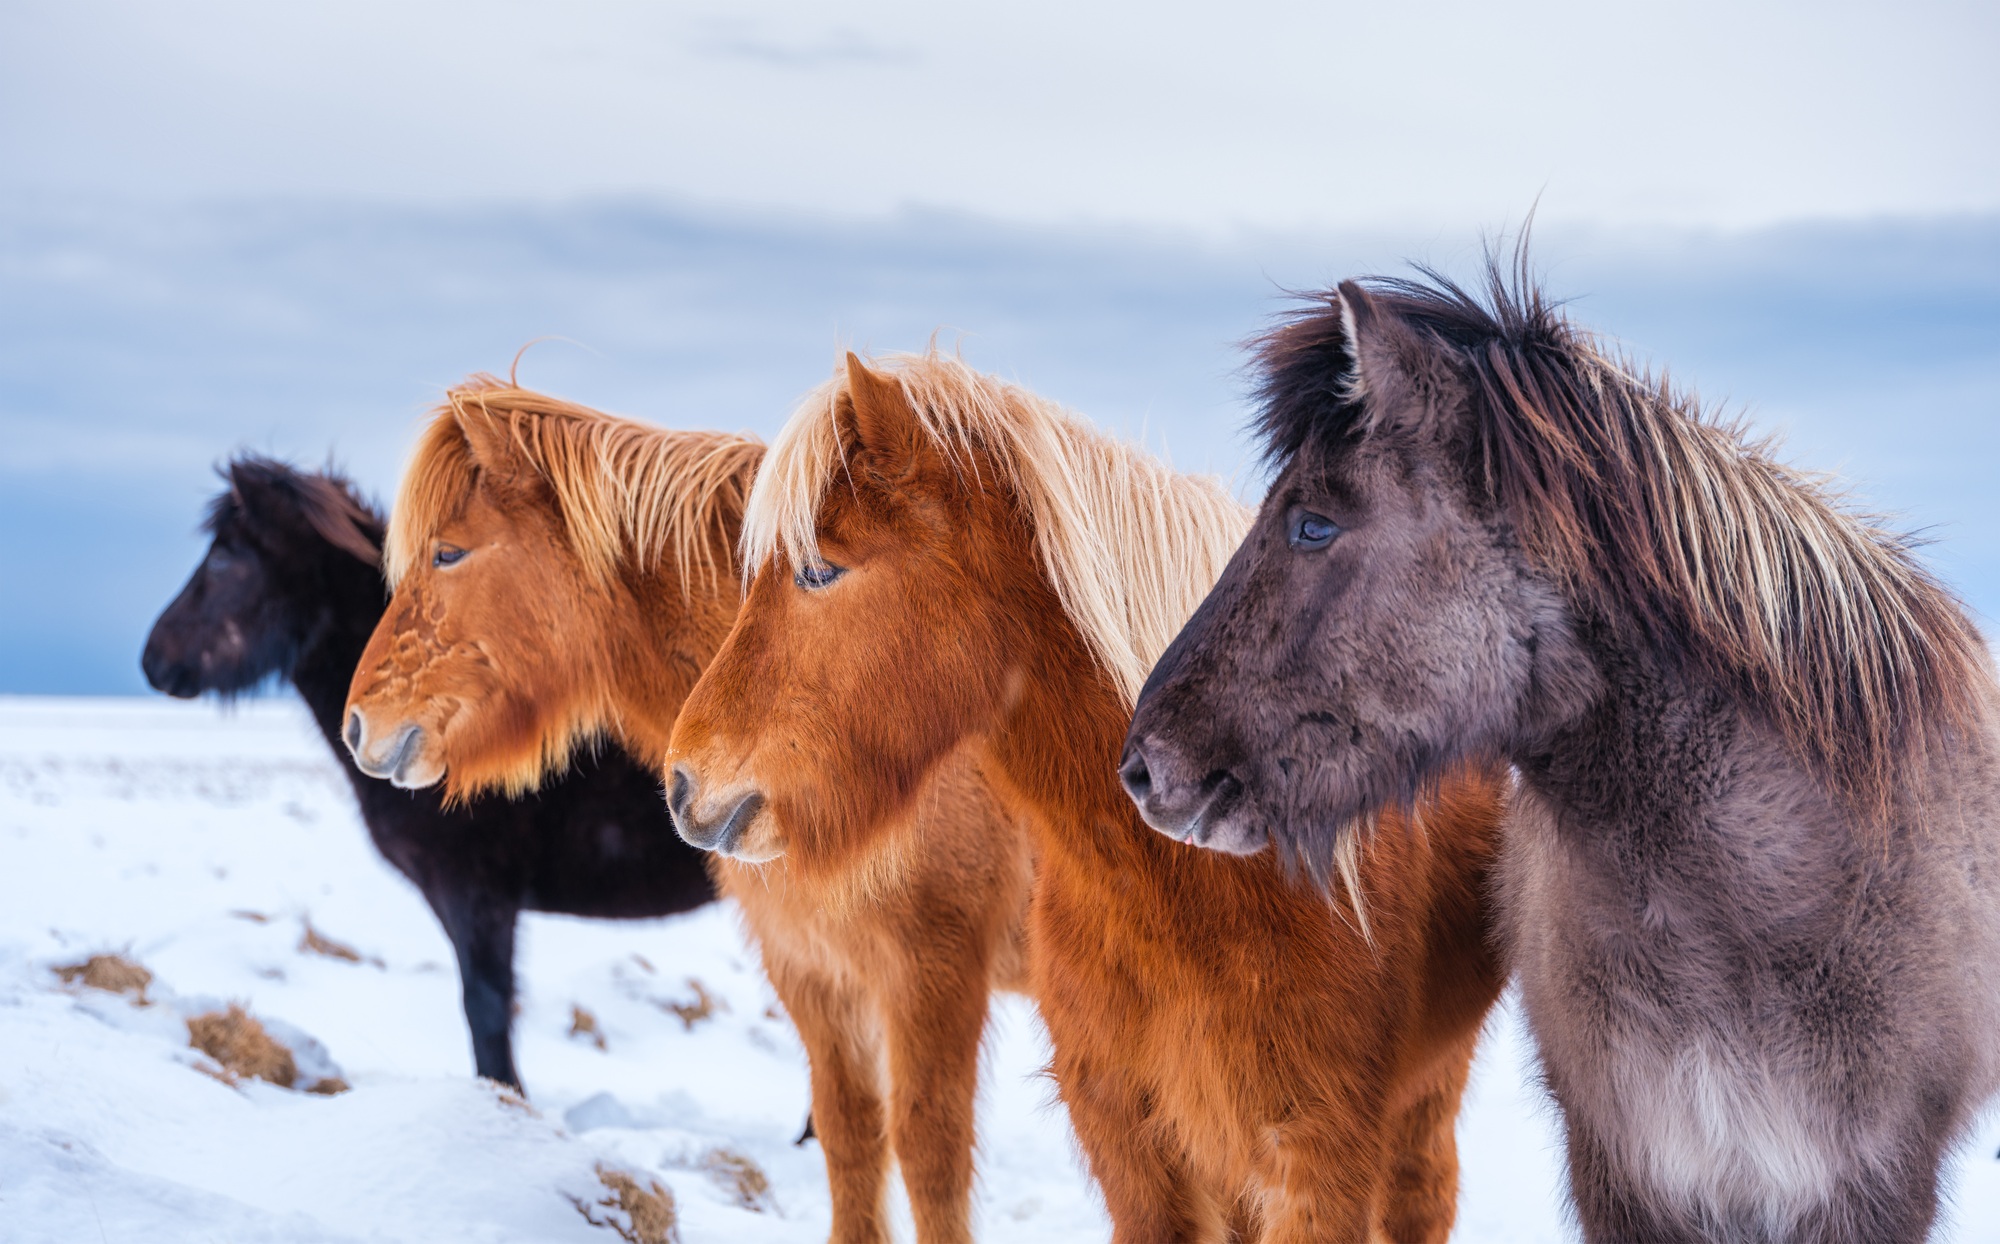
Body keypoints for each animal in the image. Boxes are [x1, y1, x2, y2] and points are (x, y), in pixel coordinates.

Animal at [340, 379, 1031, 1244]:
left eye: (448, 552)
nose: (359, 724)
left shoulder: (933, 975)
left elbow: (931, 1157)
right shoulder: (813, 970)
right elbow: (851, 1137)